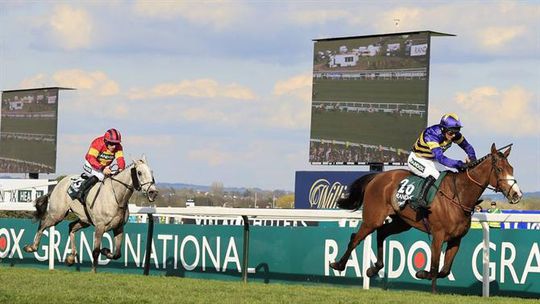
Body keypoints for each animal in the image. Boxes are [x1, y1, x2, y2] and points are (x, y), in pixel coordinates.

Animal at [23, 156, 158, 272]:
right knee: (43, 224)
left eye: (151, 172)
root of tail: (57, 184)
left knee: (71, 227)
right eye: (139, 173)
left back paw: (70, 258)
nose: (153, 192)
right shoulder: (99, 227)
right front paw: (93, 271)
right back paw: (31, 247)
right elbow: (96, 251)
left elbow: (117, 254)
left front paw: (106, 251)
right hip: (57, 214)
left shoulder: (119, 228)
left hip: (84, 220)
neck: (117, 197)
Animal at [330, 144, 524, 294]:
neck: (459, 195)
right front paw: (432, 288)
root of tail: (378, 177)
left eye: (512, 169)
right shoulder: (438, 235)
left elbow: (444, 269)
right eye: (499, 169)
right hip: (373, 218)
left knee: (382, 233)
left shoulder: (456, 239)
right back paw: (338, 264)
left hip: (402, 222)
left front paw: (422, 274)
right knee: (356, 238)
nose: (517, 194)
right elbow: (435, 264)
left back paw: (374, 268)